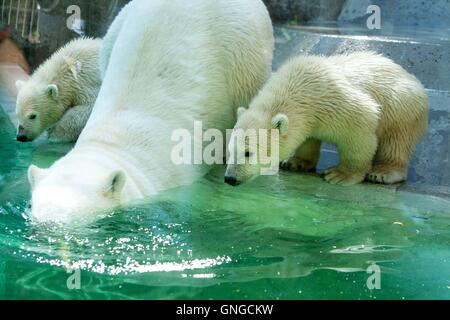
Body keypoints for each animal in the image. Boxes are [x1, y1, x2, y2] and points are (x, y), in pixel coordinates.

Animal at [28, 0, 274, 222]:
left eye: (73, 213)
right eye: (36, 207)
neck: (113, 143)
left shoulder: (179, 176)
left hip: (244, 49)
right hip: (118, 26)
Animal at [225, 52, 428, 186]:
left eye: (248, 153)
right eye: (230, 149)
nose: (230, 178)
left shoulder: (338, 102)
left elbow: (360, 129)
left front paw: (340, 174)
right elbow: (308, 138)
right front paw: (294, 162)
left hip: (401, 105)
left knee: (397, 140)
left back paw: (382, 173)